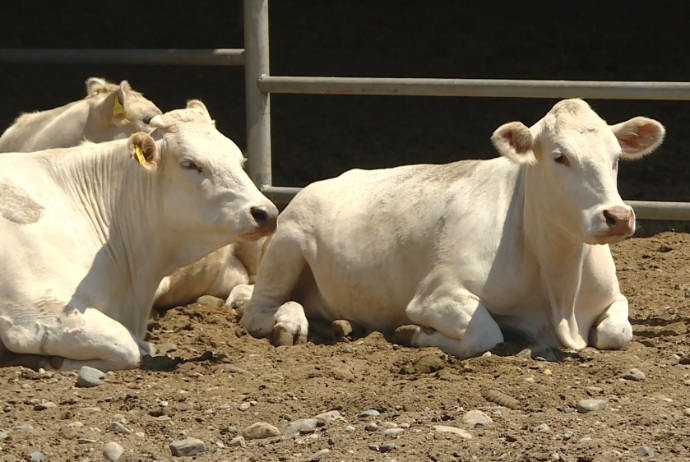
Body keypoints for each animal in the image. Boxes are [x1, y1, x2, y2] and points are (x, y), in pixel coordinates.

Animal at [239, 98, 664, 358]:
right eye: (560, 156)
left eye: (616, 157)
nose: (618, 216)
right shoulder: (434, 294)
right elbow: (485, 332)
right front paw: (412, 333)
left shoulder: (612, 297)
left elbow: (617, 333)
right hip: (286, 245)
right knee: (258, 309)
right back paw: (288, 321)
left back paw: (338, 323)